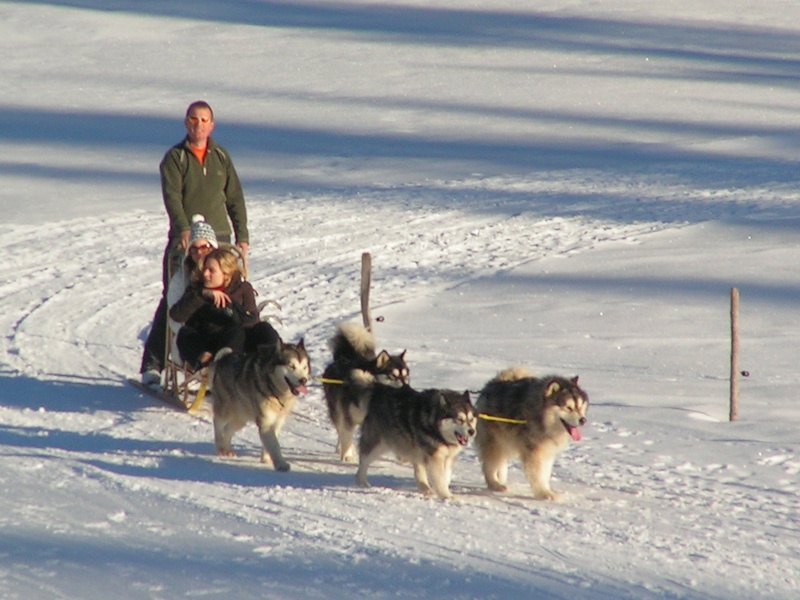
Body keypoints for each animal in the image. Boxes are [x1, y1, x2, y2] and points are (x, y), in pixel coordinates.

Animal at [476, 366, 588, 502]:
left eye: (580, 406)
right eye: (568, 407)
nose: (583, 420)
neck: (541, 418)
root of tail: (490, 385)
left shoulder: (547, 451)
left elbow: (545, 473)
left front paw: (546, 490)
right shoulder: (533, 452)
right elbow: (537, 474)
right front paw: (544, 493)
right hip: (493, 442)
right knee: (489, 464)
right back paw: (495, 484)